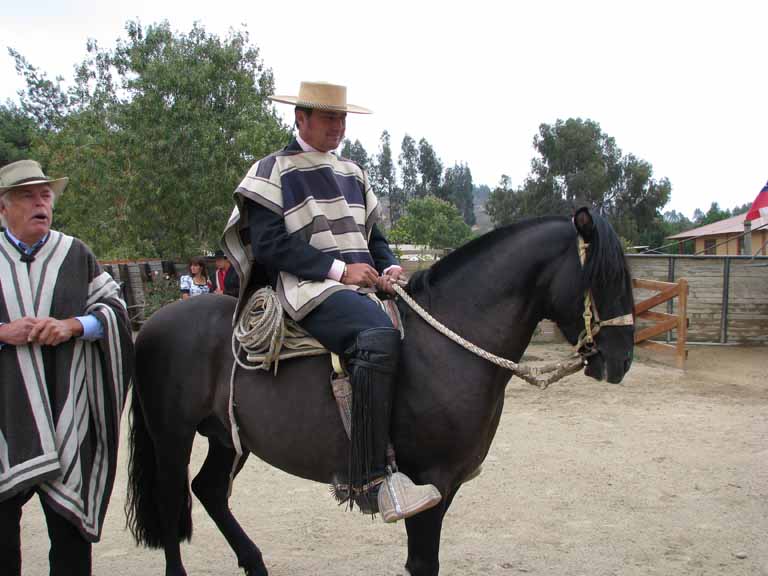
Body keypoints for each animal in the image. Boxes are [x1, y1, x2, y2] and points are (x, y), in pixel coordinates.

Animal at [127, 207, 636, 576]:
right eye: (603, 276)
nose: (620, 360)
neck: (445, 346)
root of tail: (152, 323)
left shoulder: (448, 487)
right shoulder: (431, 482)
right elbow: (423, 564)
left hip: (228, 438)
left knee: (210, 491)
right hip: (172, 438)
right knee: (172, 501)